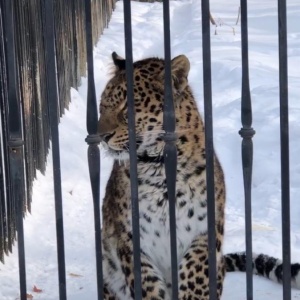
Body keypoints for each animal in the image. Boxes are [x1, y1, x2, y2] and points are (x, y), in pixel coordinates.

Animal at [98, 52, 300, 298]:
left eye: (128, 106)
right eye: (102, 105)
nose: (101, 136)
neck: (158, 167)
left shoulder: (206, 231)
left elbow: (195, 271)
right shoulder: (131, 240)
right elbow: (148, 286)